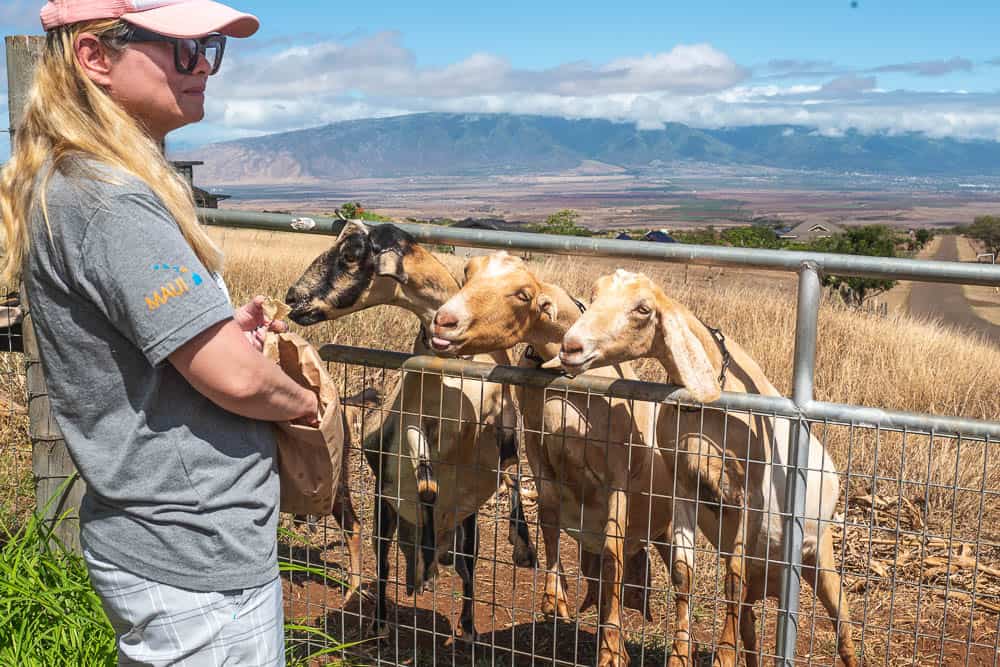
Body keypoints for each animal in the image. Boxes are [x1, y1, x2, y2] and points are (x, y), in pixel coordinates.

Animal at [432, 252, 676, 667]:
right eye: (468, 272)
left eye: (522, 294)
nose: (444, 320)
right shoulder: (538, 449)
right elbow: (548, 518)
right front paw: (553, 597)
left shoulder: (618, 471)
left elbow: (613, 553)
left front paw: (612, 651)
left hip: (673, 532)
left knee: (683, 589)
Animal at [552, 270, 856, 667]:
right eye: (596, 293)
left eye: (643, 309)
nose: (571, 347)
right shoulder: (684, 486)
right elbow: (684, 573)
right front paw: (680, 655)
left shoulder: (750, 495)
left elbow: (732, 579)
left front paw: (722, 657)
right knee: (749, 624)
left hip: (819, 557)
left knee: (843, 629)